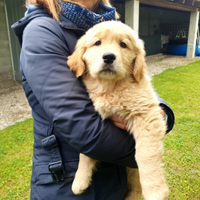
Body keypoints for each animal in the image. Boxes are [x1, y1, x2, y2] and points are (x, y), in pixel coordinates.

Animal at [67, 20, 169, 200]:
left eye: (123, 44)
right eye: (97, 43)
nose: (109, 56)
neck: (110, 87)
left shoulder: (146, 115)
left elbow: (145, 154)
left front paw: (155, 190)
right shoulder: (96, 124)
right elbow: (87, 150)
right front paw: (80, 180)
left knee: (135, 188)